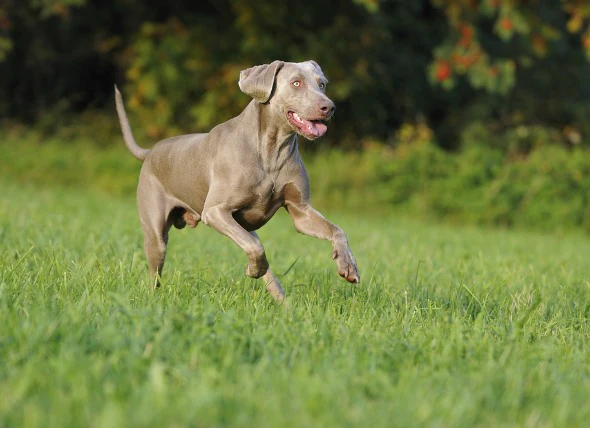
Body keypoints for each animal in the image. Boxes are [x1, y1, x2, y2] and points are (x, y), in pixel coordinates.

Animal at [113, 60, 358, 300]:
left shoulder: (301, 212)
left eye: (322, 84)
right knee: (155, 271)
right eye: (296, 83)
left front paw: (348, 265)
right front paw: (253, 270)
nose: (329, 107)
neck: (272, 149)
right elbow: (256, 248)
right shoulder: (215, 211)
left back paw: (282, 300)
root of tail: (151, 151)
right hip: (156, 234)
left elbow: (337, 230)